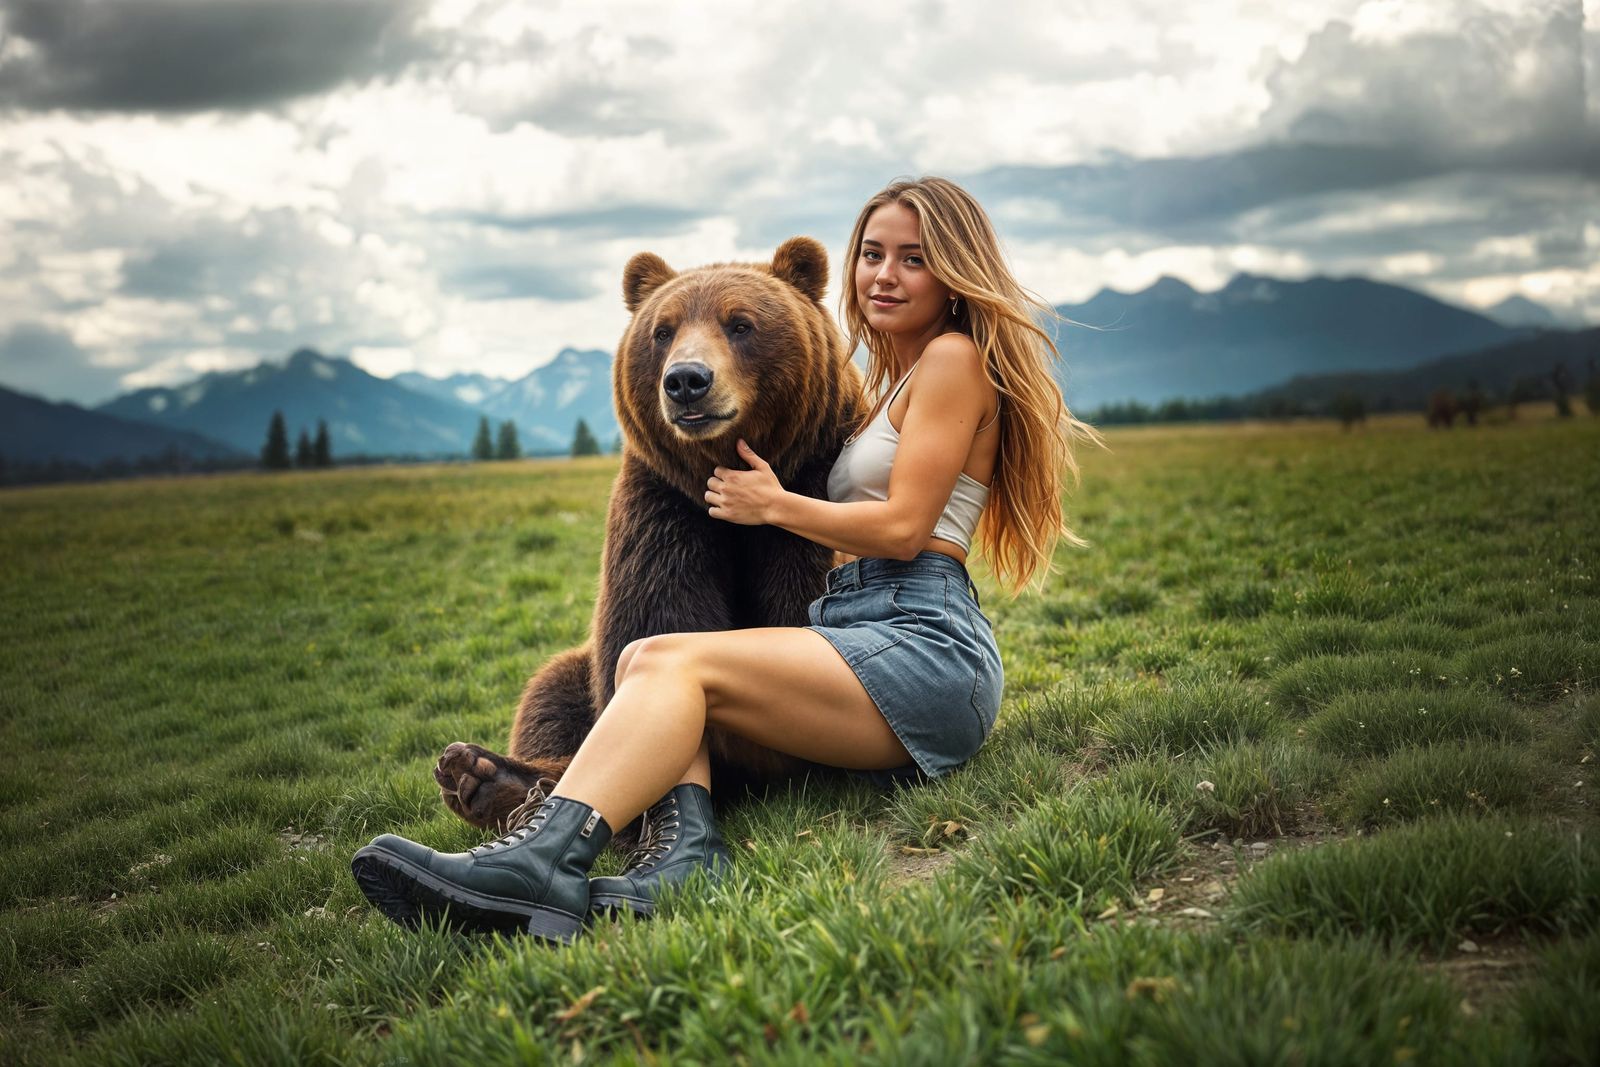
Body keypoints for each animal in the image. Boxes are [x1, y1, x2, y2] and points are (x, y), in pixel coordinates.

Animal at [434, 236, 863, 835]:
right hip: (577, 666)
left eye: (741, 323)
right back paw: (483, 775)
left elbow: (796, 615)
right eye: (663, 330)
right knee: (551, 690)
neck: (728, 471)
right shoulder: (663, 512)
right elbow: (653, 624)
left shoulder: (810, 488)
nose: (686, 380)